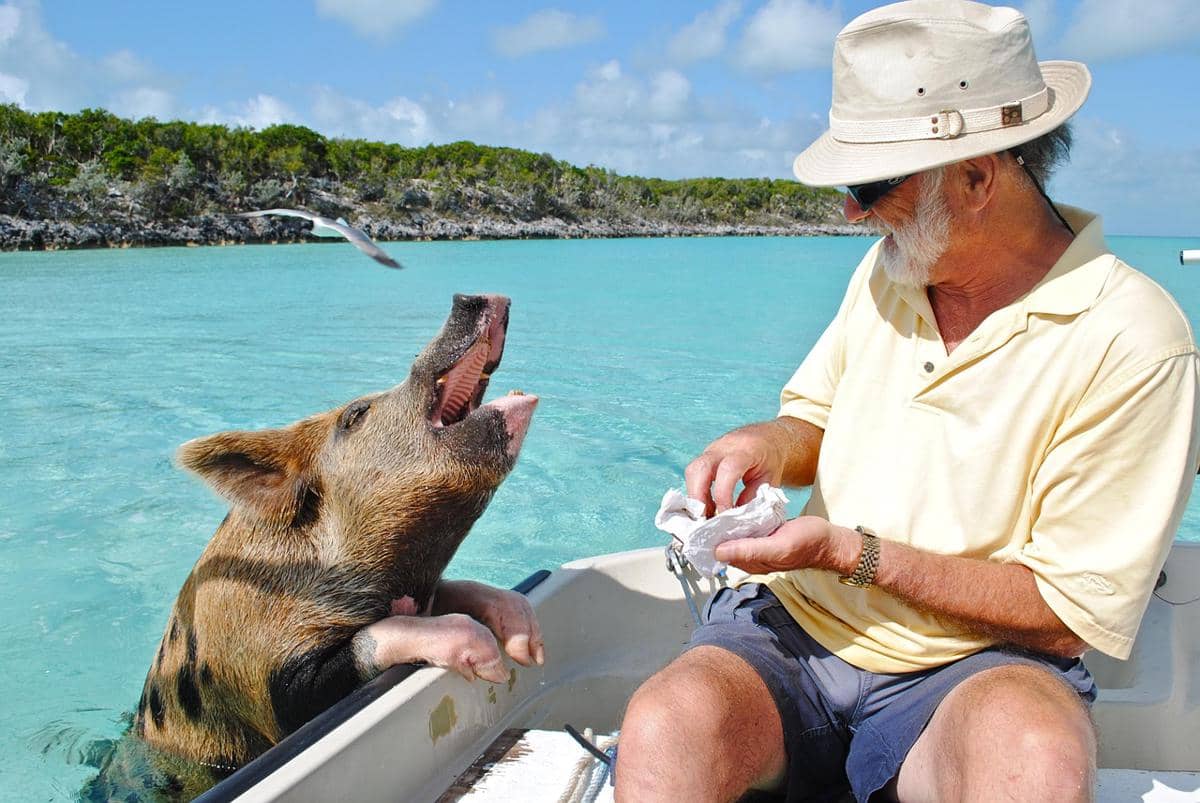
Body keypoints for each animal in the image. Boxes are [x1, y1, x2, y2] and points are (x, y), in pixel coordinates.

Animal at [83, 294, 541, 801]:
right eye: (355, 414)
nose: (470, 297)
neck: (392, 577)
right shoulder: (267, 682)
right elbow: (358, 649)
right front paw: (490, 660)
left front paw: (528, 644)